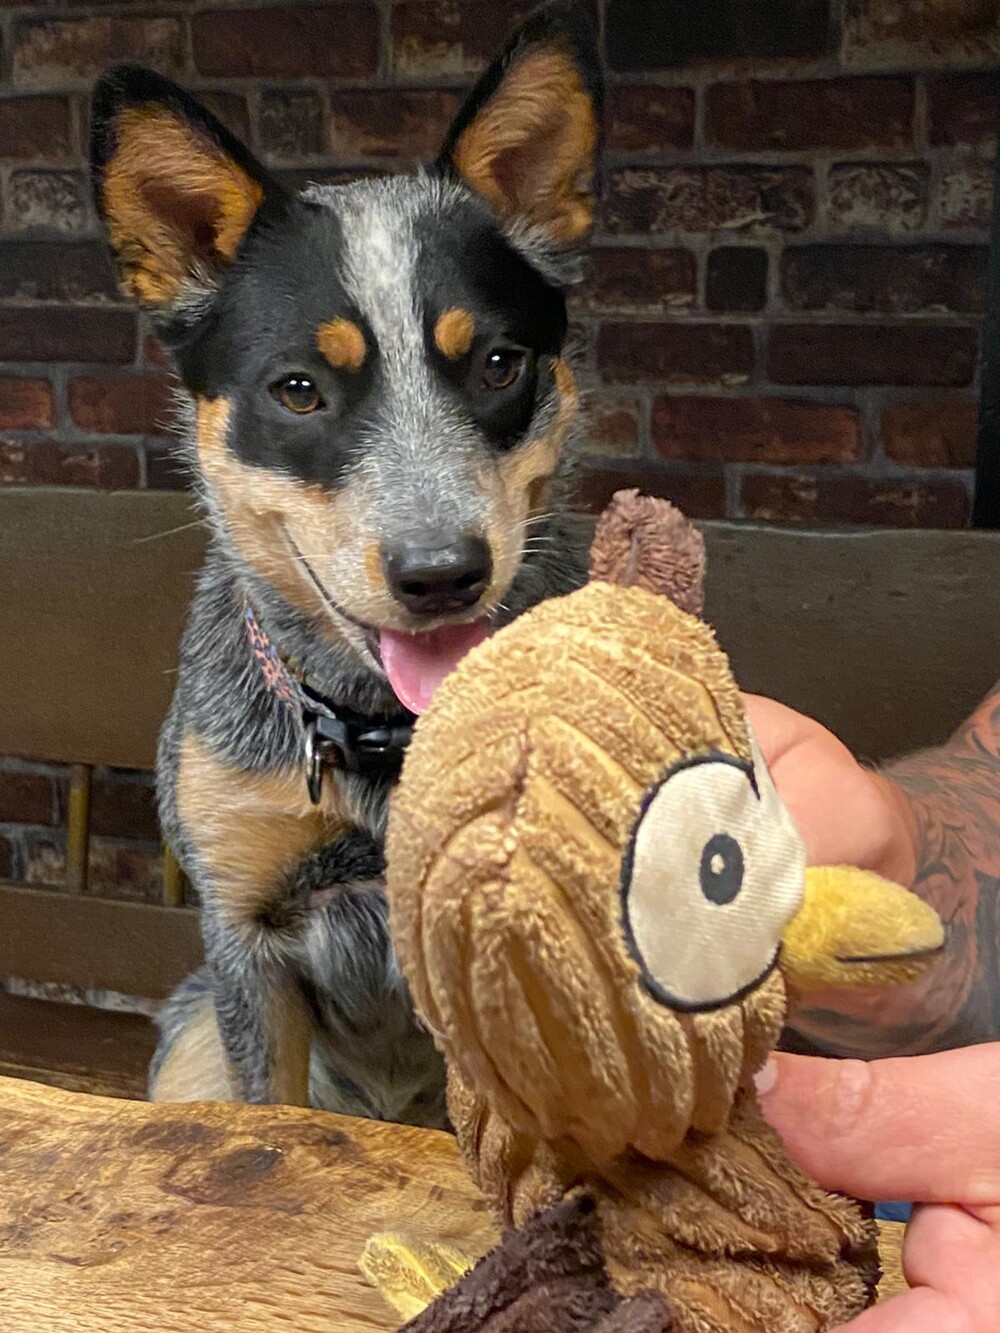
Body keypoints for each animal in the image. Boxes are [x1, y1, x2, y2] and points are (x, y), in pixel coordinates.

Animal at [89, 0, 604, 1127]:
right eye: (298, 389)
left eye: (496, 363)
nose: (442, 573)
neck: (377, 739)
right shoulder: (246, 941)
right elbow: (269, 1113)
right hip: (188, 1038)